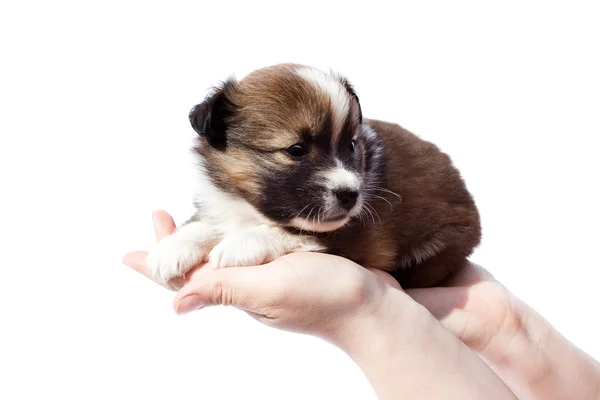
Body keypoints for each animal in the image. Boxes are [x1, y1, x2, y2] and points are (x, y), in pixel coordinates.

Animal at [148, 63, 480, 288]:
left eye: (351, 145)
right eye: (296, 149)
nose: (350, 196)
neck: (250, 208)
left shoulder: (358, 233)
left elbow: (295, 232)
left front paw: (241, 244)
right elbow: (206, 223)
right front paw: (174, 247)